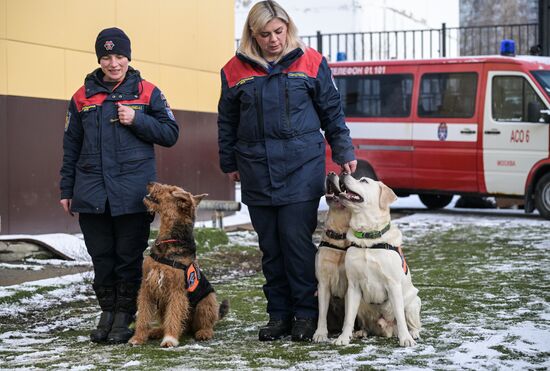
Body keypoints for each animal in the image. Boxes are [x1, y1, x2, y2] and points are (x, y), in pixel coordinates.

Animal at [129, 183, 229, 348]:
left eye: (171, 190)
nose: (150, 183)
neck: (169, 241)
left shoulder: (177, 292)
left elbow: (173, 316)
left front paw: (169, 339)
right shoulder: (147, 288)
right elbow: (143, 316)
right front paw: (138, 338)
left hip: (207, 301)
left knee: (205, 324)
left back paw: (203, 333)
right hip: (163, 303)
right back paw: (157, 331)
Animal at [336, 173, 422, 348]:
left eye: (363, 180)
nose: (343, 173)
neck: (368, 239)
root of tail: (387, 330)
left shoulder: (393, 284)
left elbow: (400, 317)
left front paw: (406, 339)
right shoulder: (353, 285)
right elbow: (348, 318)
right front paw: (344, 337)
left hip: (413, 301)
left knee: (412, 322)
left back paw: (413, 333)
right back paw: (360, 332)